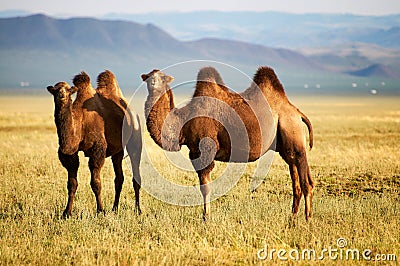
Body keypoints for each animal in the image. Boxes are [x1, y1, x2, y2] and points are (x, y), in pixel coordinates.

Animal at [47, 70, 142, 218]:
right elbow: (71, 184)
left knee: (135, 170)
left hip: (135, 137)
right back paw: (114, 208)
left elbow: (96, 183)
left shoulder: (97, 149)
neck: (80, 122)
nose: (61, 95)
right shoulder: (70, 154)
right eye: (56, 90)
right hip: (118, 149)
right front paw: (66, 213)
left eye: (68, 90)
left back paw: (138, 210)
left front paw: (100, 211)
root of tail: (132, 111)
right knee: (119, 178)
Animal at [142, 66, 314, 220]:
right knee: (296, 182)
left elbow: (205, 187)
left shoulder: (205, 150)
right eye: (148, 77)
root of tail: (297, 112)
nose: (152, 82)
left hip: (292, 131)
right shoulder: (193, 152)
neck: (184, 121)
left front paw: (206, 217)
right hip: (286, 147)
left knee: (306, 183)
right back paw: (292, 218)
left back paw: (307, 219)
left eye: (162, 78)